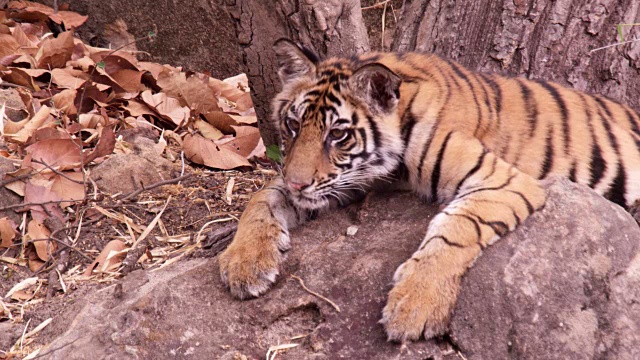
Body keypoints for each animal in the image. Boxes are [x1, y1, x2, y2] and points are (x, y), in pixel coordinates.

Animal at [219, 38, 640, 342]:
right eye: (293, 125)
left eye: (337, 134)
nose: (297, 182)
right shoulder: (339, 181)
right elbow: (262, 197)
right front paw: (245, 262)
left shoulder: (503, 180)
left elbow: (455, 230)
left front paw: (414, 306)